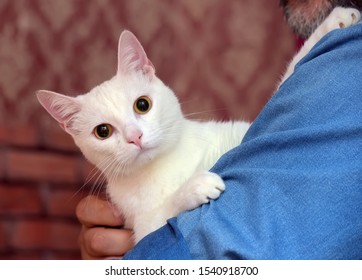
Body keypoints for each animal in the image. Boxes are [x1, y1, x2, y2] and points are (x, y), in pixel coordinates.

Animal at [36, 6, 360, 243]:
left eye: (142, 104)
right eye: (103, 131)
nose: (134, 136)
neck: (169, 163)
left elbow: (291, 72)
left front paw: (336, 21)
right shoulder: (141, 226)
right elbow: (162, 218)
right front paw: (193, 187)